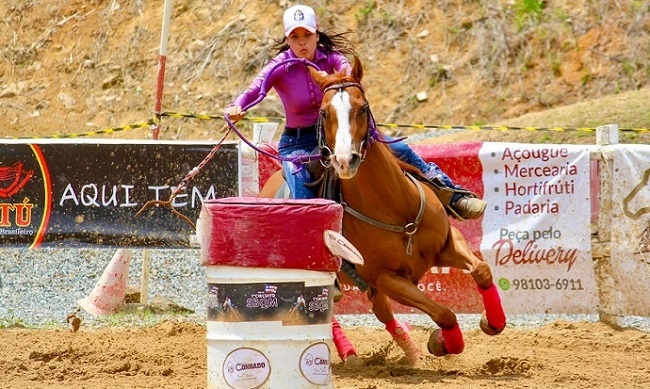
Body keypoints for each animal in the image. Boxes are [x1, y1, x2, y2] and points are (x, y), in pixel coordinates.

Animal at [260, 56, 504, 364]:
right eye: (324, 113)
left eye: (363, 107)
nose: (345, 160)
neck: (397, 209)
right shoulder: (387, 278)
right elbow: (445, 314)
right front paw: (440, 343)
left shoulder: (448, 243)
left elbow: (482, 270)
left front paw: (492, 323)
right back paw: (350, 353)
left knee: (381, 312)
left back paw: (410, 353)